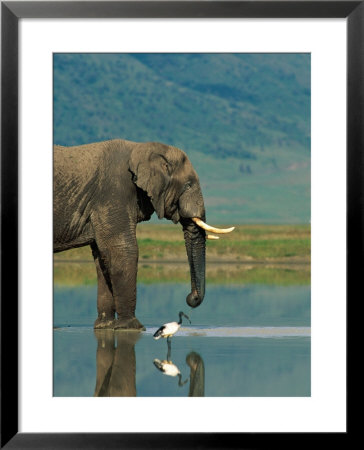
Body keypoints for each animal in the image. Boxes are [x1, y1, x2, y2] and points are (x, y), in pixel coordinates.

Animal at [53, 140, 233, 330]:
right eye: (188, 185)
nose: (191, 298)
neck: (141, 148)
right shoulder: (114, 193)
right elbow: (123, 250)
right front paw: (132, 327)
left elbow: (103, 257)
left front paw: (105, 326)